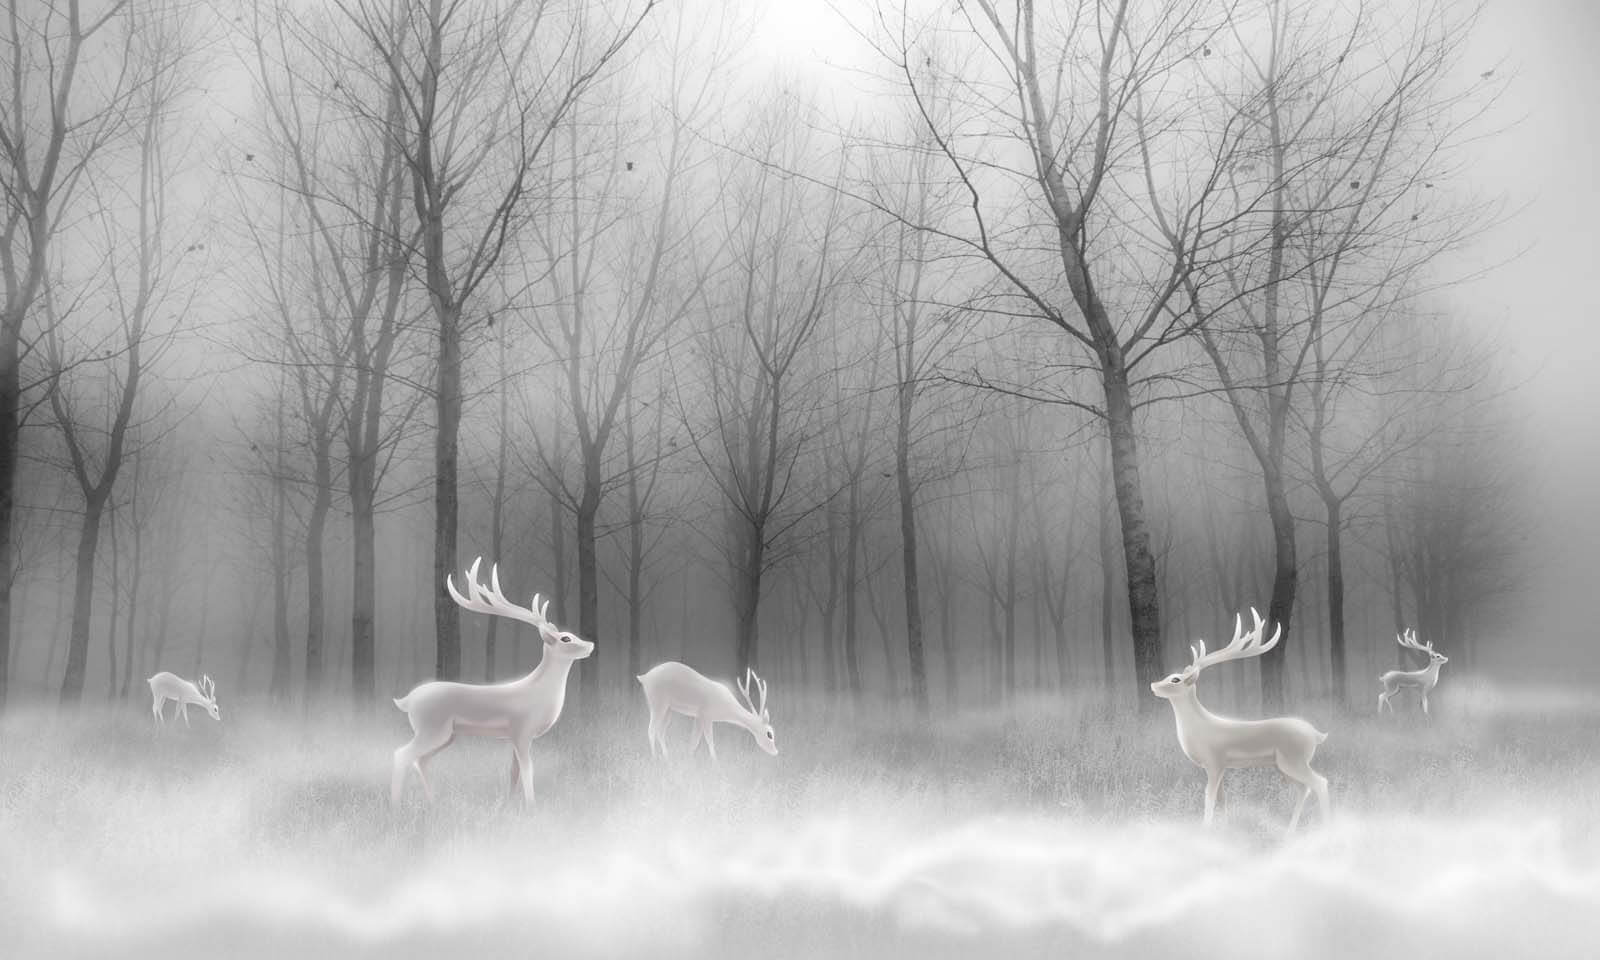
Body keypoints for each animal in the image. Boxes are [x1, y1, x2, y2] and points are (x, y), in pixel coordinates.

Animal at [390, 557, 593, 806]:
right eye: (565, 638)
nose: (591, 645)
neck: (539, 695)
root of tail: (407, 700)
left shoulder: (516, 737)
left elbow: (514, 772)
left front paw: (510, 804)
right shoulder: (522, 731)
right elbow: (528, 770)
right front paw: (532, 807)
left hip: (446, 734)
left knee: (421, 760)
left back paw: (433, 803)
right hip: (431, 727)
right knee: (402, 754)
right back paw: (395, 806)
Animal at [637, 662, 777, 760]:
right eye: (769, 734)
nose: (776, 751)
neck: (726, 708)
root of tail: (644, 677)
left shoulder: (698, 717)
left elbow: (694, 742)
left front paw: (689, 760)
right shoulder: (706, 715)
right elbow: (709, 742)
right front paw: (716, 765)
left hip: (668, 709)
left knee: (660, 731)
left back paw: (666, 757)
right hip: (657, 703)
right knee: (651, 729)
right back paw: (655, 758)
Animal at [1151, 608, 1331, 830]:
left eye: (1175, 679)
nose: (1153, 685)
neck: (1199, 729)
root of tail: (1316, 735)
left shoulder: (1215, 761)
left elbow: (1208, 797)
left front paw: (1205, 829)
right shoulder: (1217, 767)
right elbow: (1222, 798)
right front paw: (1226, 828)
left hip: (1295, 759)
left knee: (1320, 783)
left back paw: (1326, 828)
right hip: (1283, 765)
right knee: (1303, 789)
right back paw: (1290, 831)